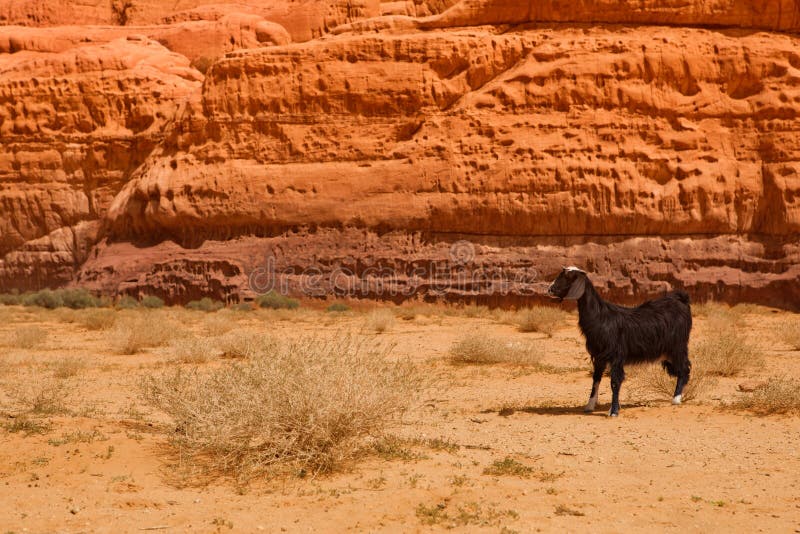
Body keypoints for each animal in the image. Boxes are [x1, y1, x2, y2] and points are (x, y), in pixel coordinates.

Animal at [548, 268, 692, 418]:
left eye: (568, 277)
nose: (549, 289)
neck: (601, 317)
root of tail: (681, 299)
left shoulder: (616, 355)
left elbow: (615, 382)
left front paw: (614, 411)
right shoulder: (599, 356)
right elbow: (596, 379)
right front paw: (590, 406)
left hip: (678, 347)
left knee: (684, 368)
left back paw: (676, 399)